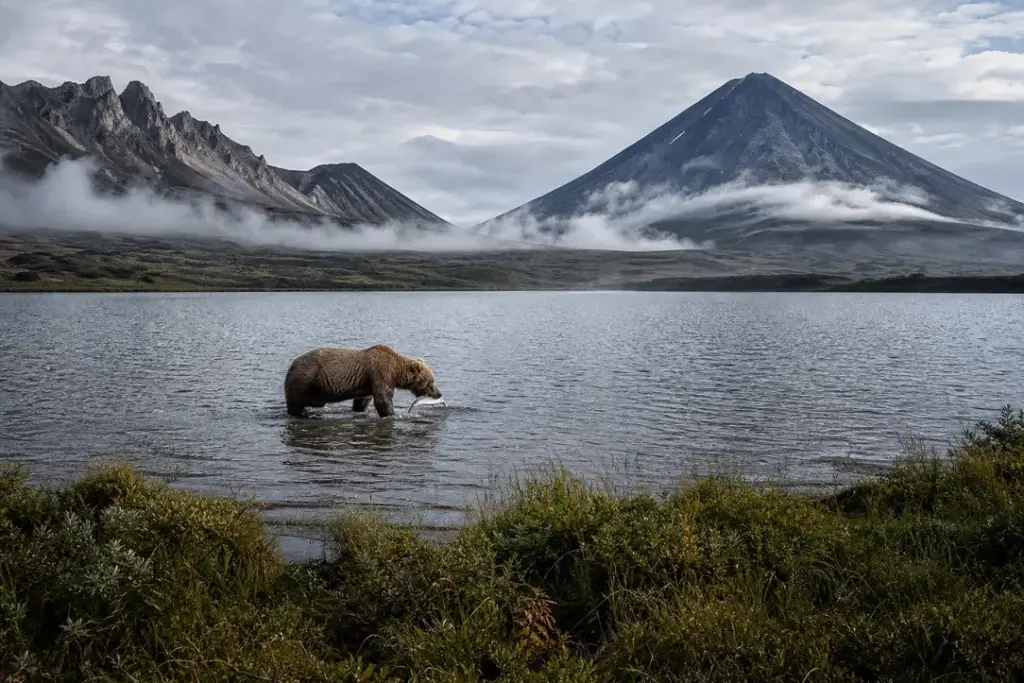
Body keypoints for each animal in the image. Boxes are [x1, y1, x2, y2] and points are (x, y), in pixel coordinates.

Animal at [283, 344, 443, 418]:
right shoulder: (379, 374)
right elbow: (383, 399)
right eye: (431, 382)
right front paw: (391, 414)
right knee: (295, 402)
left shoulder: (366, 383)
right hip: (306, 377)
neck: (395, 372)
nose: (439, 393)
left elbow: (363, 400)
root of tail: (292, 363)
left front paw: (359, 409)